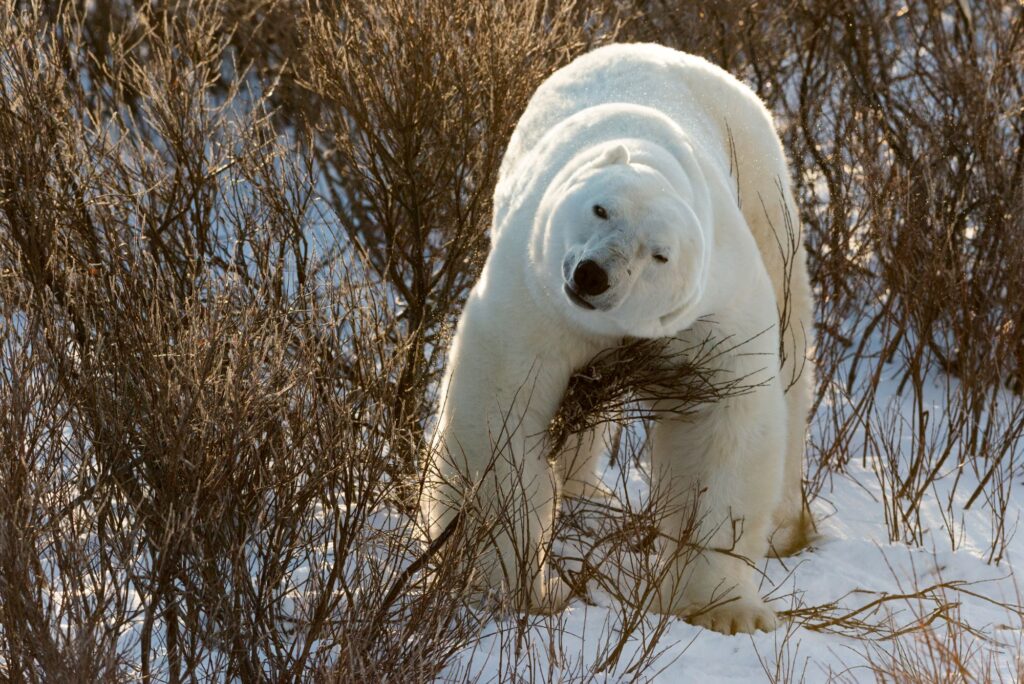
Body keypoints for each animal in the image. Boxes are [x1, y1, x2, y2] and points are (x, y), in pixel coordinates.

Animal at [421, 43, 813, 635]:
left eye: (660, 255)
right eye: (601, 208)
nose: (592, 275)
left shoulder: (712, 313)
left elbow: (722, 427)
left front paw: (728, 610)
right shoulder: (535, 297)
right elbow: (501, 413)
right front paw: (523, 586)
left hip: (764, 188)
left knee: (792, 350)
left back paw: (786, 526)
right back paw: (586, 491)